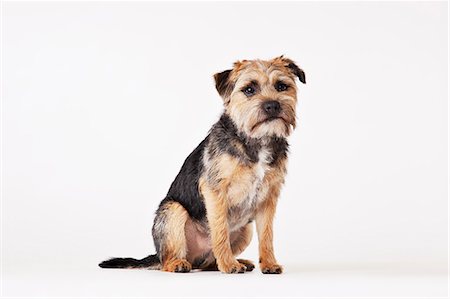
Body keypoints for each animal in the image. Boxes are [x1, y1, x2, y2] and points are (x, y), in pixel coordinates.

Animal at [99, 55, 306, 274]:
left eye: (282, 86)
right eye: (249, 89)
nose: (272, 105)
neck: (256, 140)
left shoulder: (268, 198)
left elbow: (267, 235)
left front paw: (269, 263)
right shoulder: (215, 191)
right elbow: (220, 230)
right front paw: (229, 265)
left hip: (246, 229)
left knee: (210, 263)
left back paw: (238, 261)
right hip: (173, 211)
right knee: (168, 261)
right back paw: (182, 263)